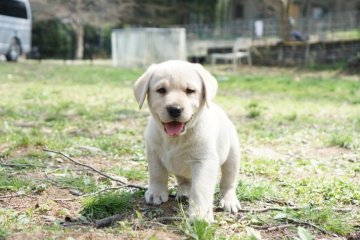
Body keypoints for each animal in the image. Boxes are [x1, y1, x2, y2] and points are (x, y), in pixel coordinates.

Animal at [134, 60, 240, 221]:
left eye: (190, 91)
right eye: (161, 90)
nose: (175, 109)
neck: (176, 138)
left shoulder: (204, 161)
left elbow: (200, 189)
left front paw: (200, 215)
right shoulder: (153, 153)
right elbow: (157, 174)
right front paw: (156, 193)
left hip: (232, 154)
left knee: (228, 181)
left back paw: (229, 200)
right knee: (185, 180)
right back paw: (184, 191)